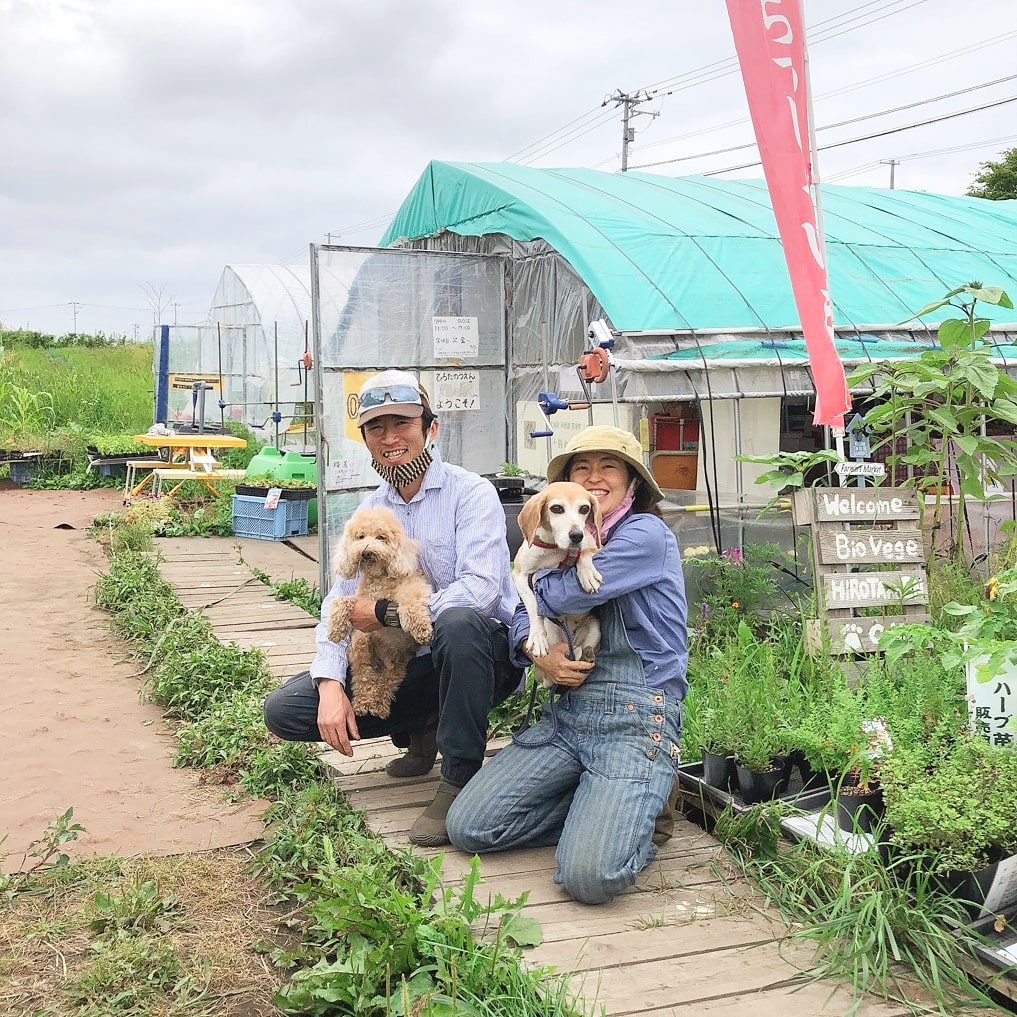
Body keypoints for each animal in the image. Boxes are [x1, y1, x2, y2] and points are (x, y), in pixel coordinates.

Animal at [516, 477, 602, 683]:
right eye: (556, 508)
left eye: (584, 508)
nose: (576, 535)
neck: (554, 548)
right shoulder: (520, 575)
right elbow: (533, 605)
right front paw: (537, 637)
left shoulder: (594, 546)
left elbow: (584, 553)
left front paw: (587, 573)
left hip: (595, 627)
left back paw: (586, 655)